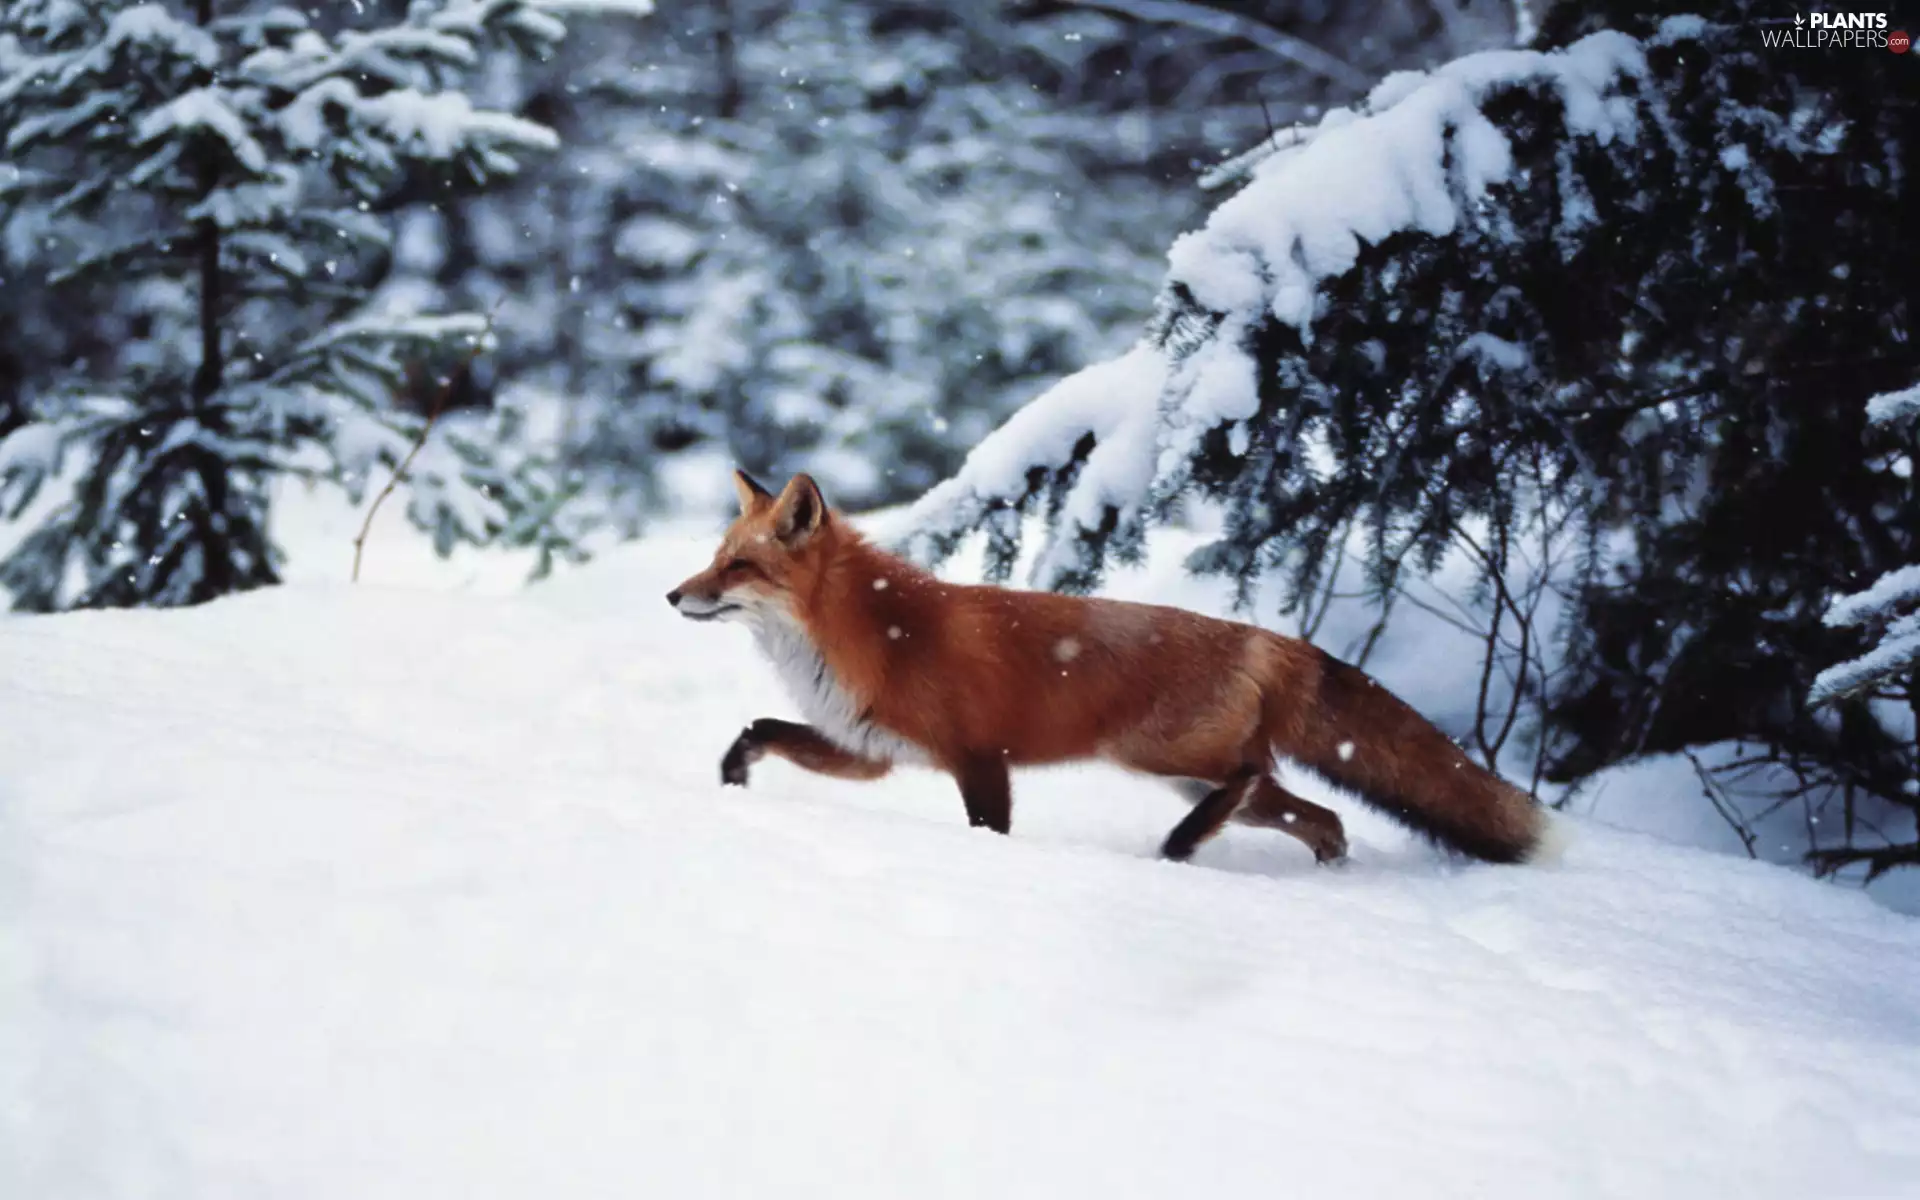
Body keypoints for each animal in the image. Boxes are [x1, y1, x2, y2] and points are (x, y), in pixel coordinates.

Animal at [667, 470, 1552, 867]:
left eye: (738, 567)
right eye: (715, 557)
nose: (674, 594)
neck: (877, 630)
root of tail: (1266, 636)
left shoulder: (980, 758)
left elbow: (989, 831)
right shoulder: (870, 752)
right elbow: (759, 729)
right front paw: (731, 781)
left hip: (1159, 756)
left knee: (1251, 779)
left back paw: (1179, 848)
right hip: (1197, 776)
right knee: (1321, 817)